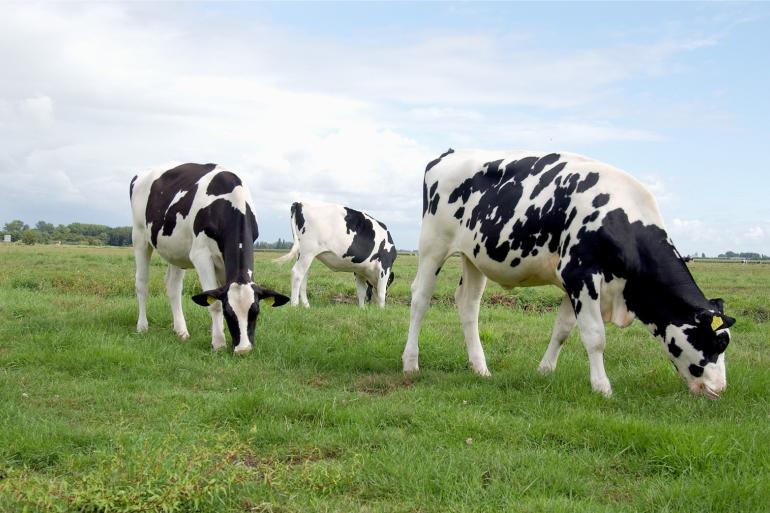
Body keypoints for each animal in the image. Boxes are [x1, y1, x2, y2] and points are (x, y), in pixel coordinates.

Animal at [129, 163, 288, 352]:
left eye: (255, 311)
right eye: (228, 312)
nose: (243, 350)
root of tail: (140, 175)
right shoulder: (201, 255)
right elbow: (214, 302)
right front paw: (218, 342)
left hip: (175, 251)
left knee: (173, 287)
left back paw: (181, 331)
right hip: (139, 236)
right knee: (141, 282)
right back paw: (142, 326)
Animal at [402, 148, 732, 396]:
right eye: (717, 343)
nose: (720, 388)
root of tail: (449, 154)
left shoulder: (572, 284)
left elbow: (562, 330)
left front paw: (545, 371)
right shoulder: (580, 274)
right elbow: (595, 335)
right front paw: (602, 387)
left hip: (474, 256)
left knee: (468, 305)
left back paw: (480, 368)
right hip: (433, 245)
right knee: (421, 299)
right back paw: (411, 362)